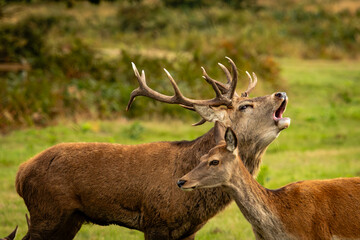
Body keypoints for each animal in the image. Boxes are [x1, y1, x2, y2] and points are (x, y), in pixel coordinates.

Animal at [15, 57, 290, 239]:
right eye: (244, 106)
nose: (281, 93)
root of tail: (20, 174)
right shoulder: (156, 221)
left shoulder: (187, 230)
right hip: (46, 211)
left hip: (70, 218)